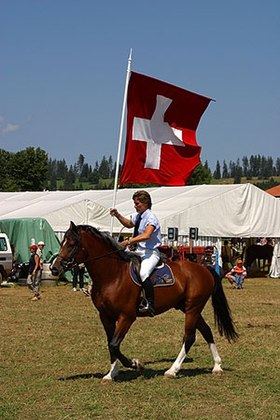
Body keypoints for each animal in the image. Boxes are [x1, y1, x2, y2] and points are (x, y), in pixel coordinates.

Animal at [51, 221, 237, 382]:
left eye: (72, 243)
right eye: (63, 242)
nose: (54, 268)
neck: (112, 275)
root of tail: (204, 268)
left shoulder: (126, 317)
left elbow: (114, 344)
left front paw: (135, 364)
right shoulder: (105, 316)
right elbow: (110, 343)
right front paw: (112, 373)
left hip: (193, 308)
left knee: (189, 337)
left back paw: (172, 370)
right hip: (187, 308)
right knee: (207, 331)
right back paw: (217, 366)